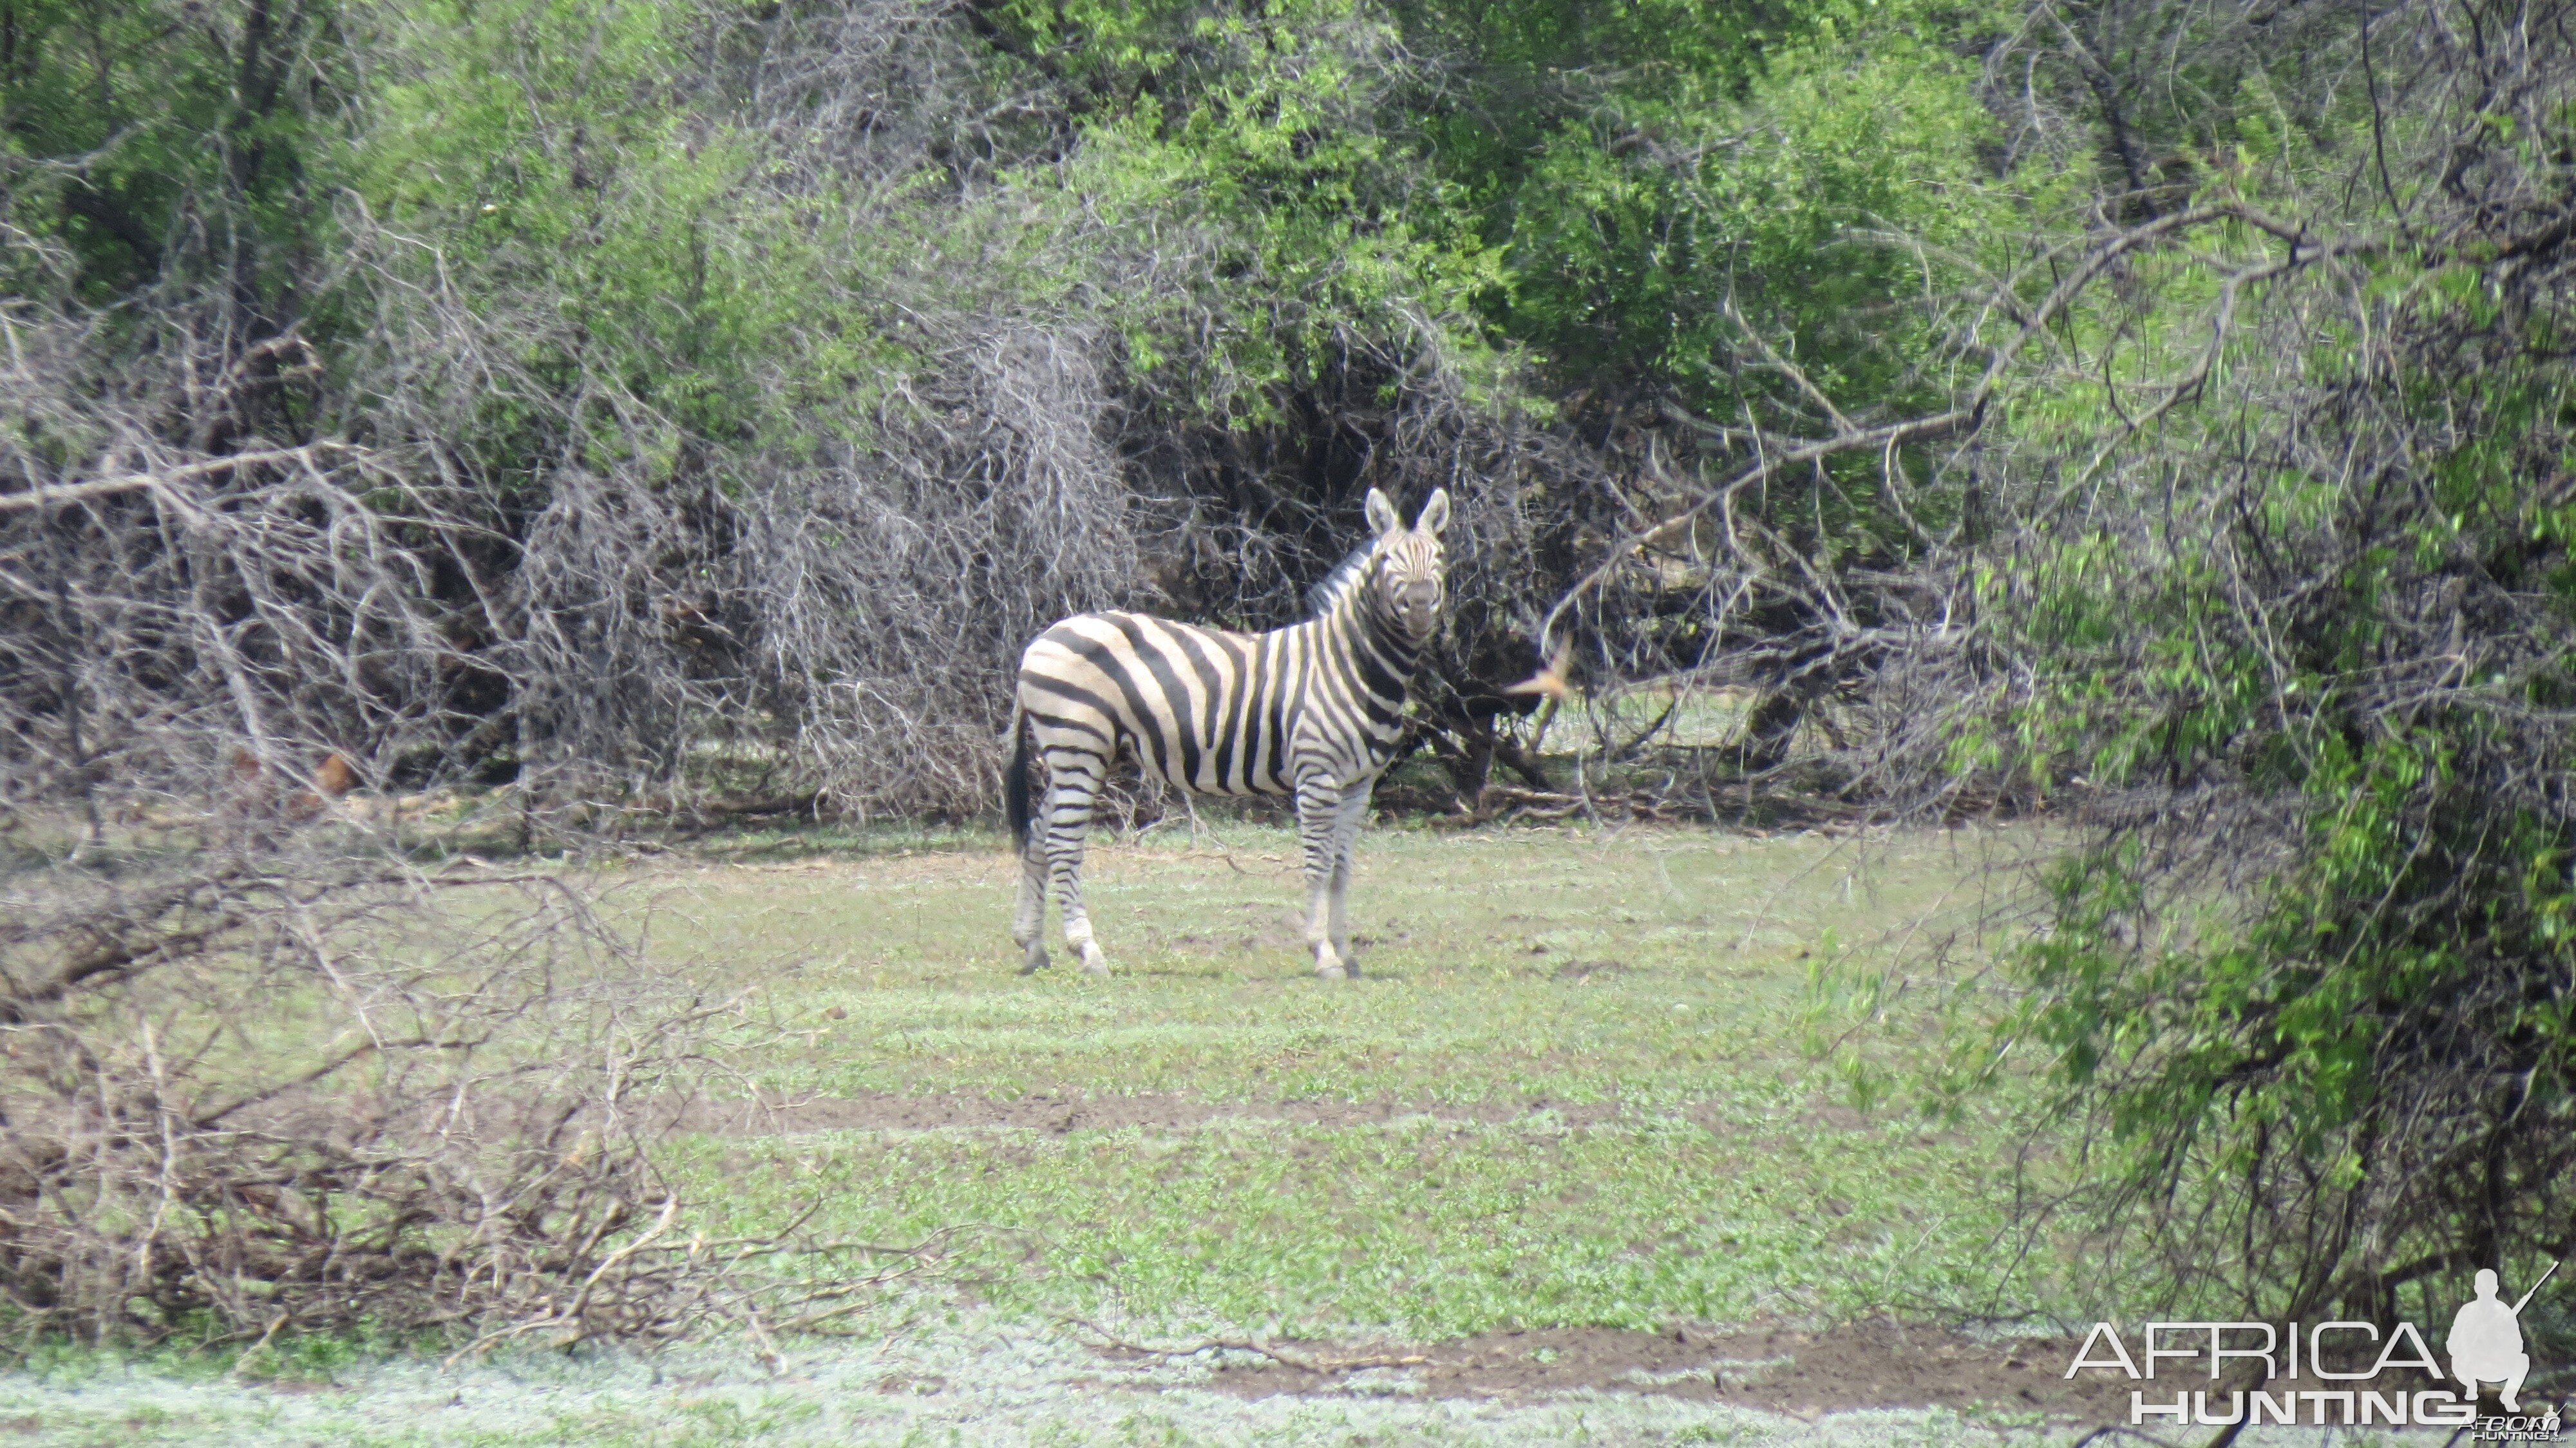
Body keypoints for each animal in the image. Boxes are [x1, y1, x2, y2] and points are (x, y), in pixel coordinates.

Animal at [1005, 490, 1453, 974]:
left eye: (1440, 557)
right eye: (1388, 559)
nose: (1422, 607)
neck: (1350, 665)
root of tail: (1042, 637)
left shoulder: (1359, 783)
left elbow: (1341, 867)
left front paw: (1345, 953)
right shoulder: (1317, 775)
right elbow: (1317, 864)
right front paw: (1322, 953)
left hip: (1069, 753)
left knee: (1038, 833)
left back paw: (1033, 945)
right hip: (1079, 746)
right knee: (1063, 844)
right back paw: (1088, 951)